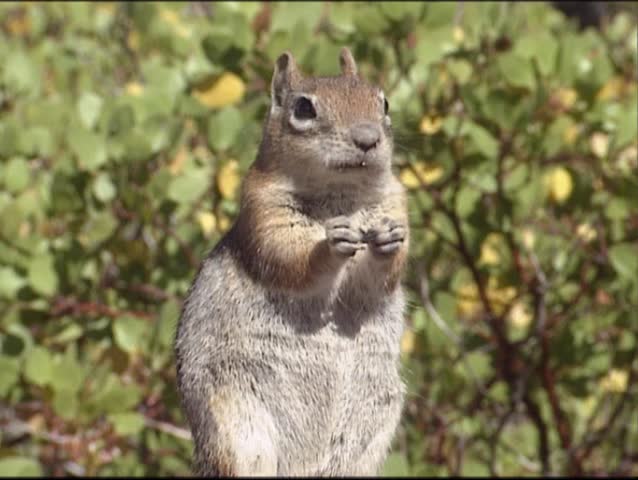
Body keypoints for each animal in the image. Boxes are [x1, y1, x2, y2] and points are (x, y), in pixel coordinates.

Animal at [175, 46, 410, 476]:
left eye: (383, 102)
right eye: (303, 108)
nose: (367, 139)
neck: (340, 195)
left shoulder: (395, 203)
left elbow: (385, 275)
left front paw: (387, 243)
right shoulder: (264, 213)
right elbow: (290, 258)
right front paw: (328, 246)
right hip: (240, 429)